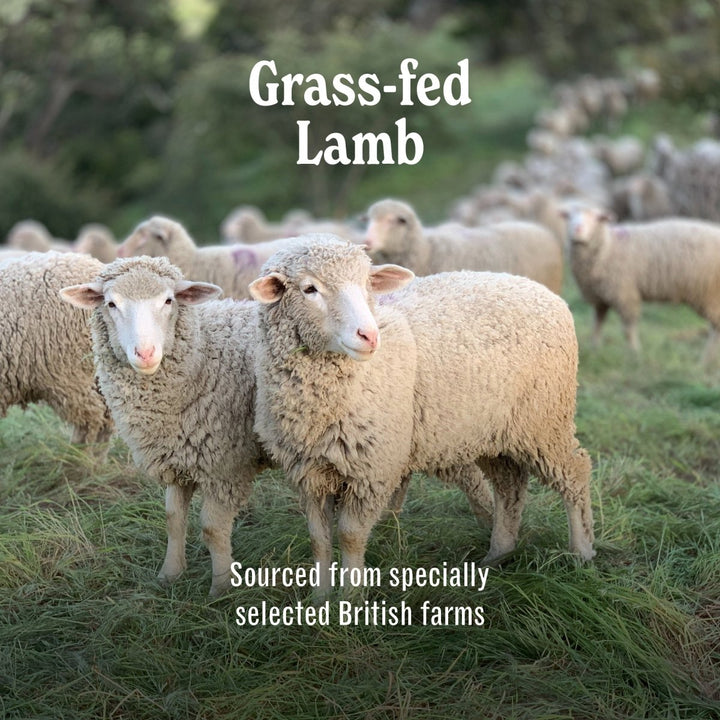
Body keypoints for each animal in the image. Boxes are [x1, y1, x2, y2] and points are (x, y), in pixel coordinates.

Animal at [60, 256, 268, 596]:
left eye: (169, 300)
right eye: (111, 303)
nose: (145, 354)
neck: (205, 355)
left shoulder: (225, 466)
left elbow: (212, 528)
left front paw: (221, 588)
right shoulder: (176, 455)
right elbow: (173, 518)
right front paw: (170, 574)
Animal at [250, 235, 594, 598]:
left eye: (367, 284)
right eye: (309, 289)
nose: (369, 336)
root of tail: (544, 292)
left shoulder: (373, 469)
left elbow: (350, 536)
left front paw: (350, 599)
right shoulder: (309, 472)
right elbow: (319, 539)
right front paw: (319, 600)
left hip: (545, 420)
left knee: (575, 473)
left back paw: (581, 553)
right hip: (494, 430)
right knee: (509, 486)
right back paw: (499, 553)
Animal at [563, 205, 720, 358]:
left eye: (597, 218)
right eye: (569, 216)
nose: (577, 229)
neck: (608, 247)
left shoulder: (625, 294)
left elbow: (628, 329)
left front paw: (634, 353)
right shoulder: (600, 298)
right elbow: (597, 324)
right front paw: (595, 349)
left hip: (709, 294)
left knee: (716, 327)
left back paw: (707, 360)